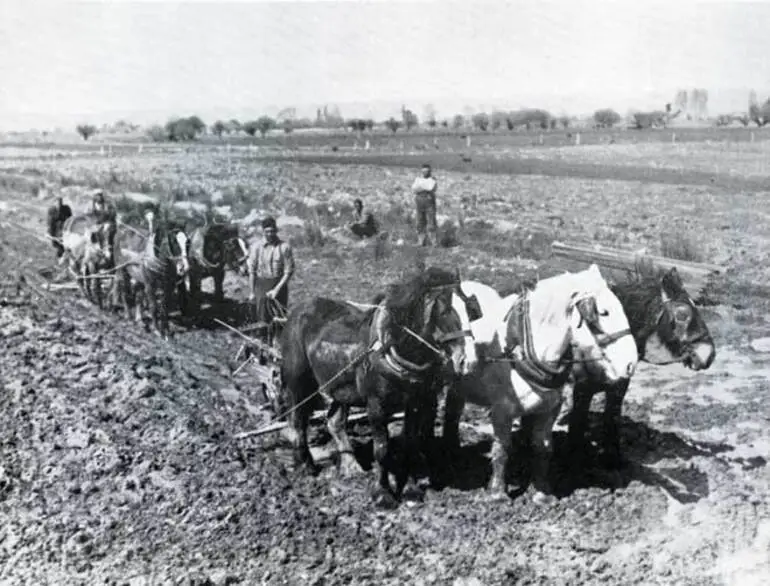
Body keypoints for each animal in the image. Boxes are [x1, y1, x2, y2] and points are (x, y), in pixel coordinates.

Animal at [280, 266, 476, 506]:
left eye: (470, 309)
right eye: (445, 311)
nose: (466, 361)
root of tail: (299, 309)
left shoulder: (416, 403)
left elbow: (410, 444)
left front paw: (410, 489)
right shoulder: (375, 405)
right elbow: (381, 449)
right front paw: (382, 493)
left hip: (340, 387)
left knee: (334, 421)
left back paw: (350, 467)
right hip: (298, 383)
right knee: (297, 420)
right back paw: (305, 465)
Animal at [438, 262, 636, 500]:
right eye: (603, 312)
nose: (631, 363)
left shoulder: (550, 409)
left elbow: (543, 447)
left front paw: (542, 492)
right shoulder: (502, 410)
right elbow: (502, 448)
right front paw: (497, 492)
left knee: (453, 408)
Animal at [564, 262, 712, 472]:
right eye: (682, 314)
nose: (709, 354)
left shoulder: (618, 388)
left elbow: (611, 418)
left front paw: (612, 460)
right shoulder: (582, 389)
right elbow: (578, 423)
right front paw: (575, 463)